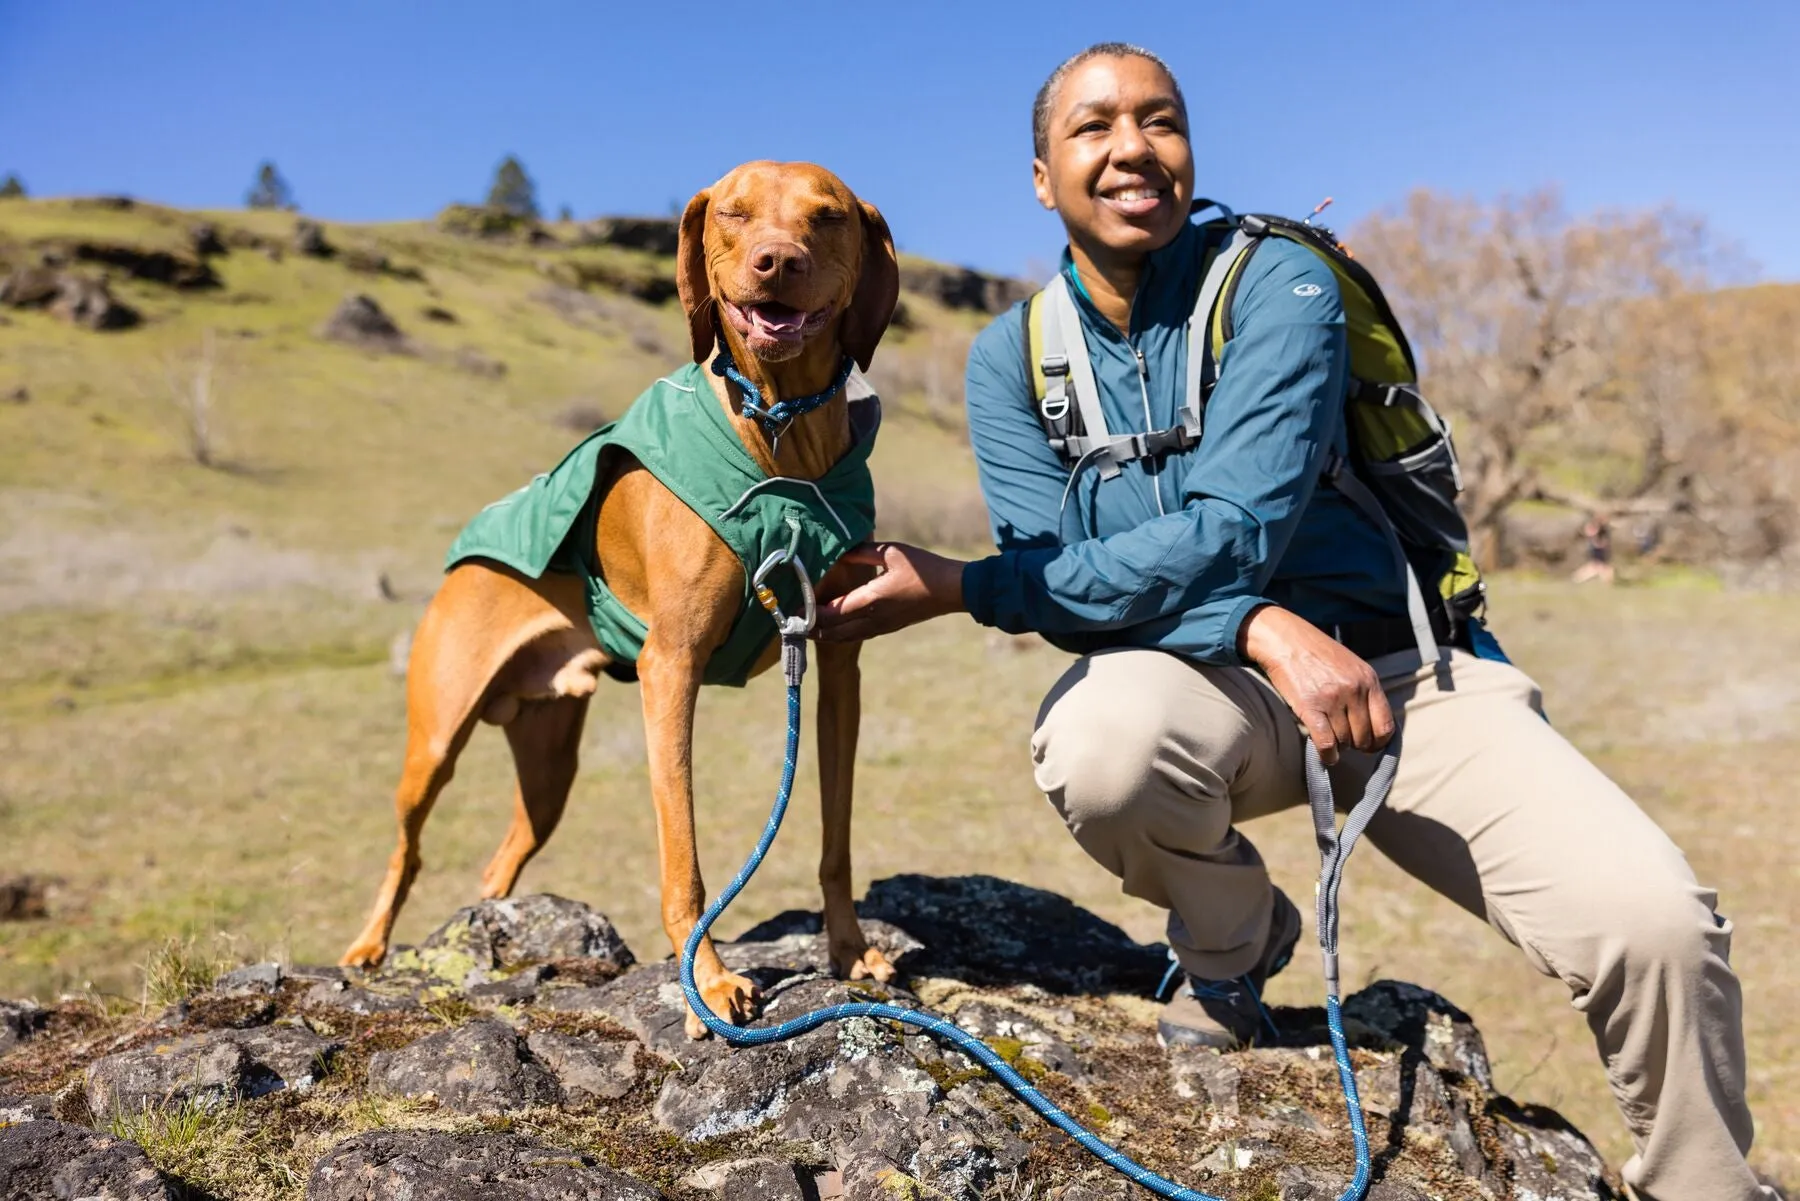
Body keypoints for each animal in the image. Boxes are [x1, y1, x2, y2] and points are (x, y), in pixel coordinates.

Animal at [340, 162, 900, 1044]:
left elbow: (834, 835)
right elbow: (685, 860)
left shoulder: (837, 660)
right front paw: (708, 982)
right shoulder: (671, 666)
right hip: (434, 738)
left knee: (500, 857)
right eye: (735, 212)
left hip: (548, 766)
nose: (776, 261)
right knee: (408, 847)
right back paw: (367, 945)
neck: (780, 434)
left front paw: (849, 951)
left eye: (828, 217)